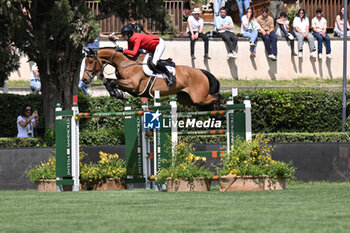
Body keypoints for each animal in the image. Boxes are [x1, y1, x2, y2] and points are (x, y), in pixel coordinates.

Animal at [83, 46, 220, 108]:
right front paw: (118, 94)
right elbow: (108, 81)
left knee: (216, 97)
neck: (125, 62)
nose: (84, 79)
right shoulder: (129, 86)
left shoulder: (132, 85)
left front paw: (118, 94)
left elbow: (110, 81)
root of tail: (201, 71)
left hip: (199, 97)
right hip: (186, 99)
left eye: (91, 61)